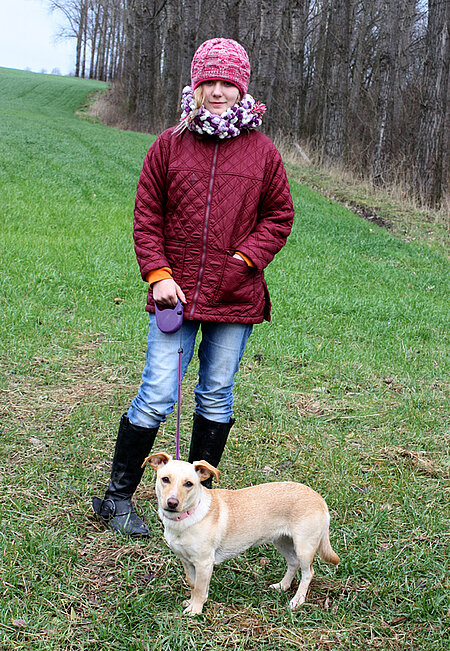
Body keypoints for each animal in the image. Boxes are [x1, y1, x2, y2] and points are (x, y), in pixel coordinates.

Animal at [146, 454, 340, 616]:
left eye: (188, 484)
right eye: (165, 479)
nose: (172, 503)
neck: (186, 517)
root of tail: (320, 499)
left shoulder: (204, 563)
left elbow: (200, 589)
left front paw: (196, 610)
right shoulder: (187, 561)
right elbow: (194, 584)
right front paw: (193, 602)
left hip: (304, 548)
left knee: (308, 573)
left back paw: (297, 601)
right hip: (282, 541)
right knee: (293, 563)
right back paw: (282, 586)